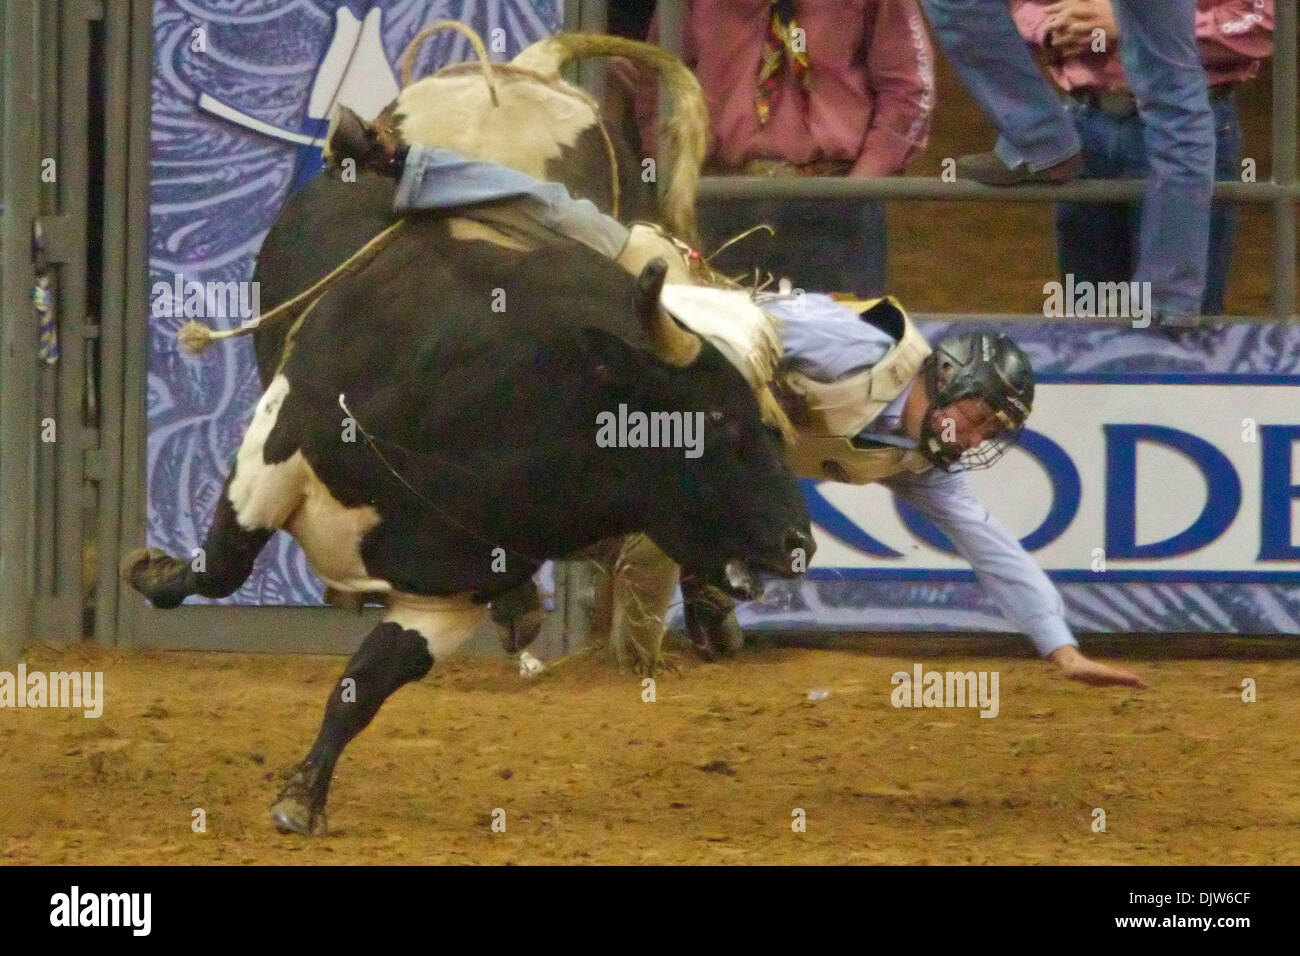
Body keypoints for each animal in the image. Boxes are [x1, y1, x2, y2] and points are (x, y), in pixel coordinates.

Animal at [122, 31, 811, 837]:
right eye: (721, 424)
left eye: (774, 426)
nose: (799, 542)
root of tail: (528, 73)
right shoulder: (280, 441)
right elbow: (222, 567)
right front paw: (153, 572)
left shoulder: (450, 589)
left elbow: (366, 683)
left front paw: (302, 796)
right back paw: (375, 145)